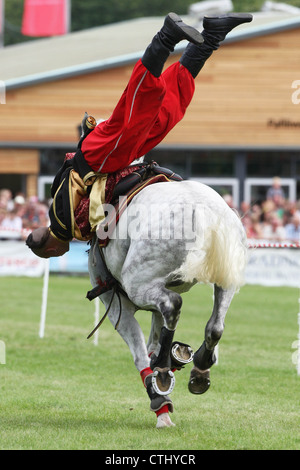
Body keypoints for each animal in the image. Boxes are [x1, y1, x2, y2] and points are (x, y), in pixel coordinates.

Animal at [88, 178, 247, 428]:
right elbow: (155, 338)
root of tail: (203, 210)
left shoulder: (115, 304)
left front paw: (158, 400)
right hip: (226, 278)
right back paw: (199, 366)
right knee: (215, 327)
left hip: (138, 285)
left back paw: (163, 369)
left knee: (173, 305)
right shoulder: (156, 299)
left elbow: (141, 354)